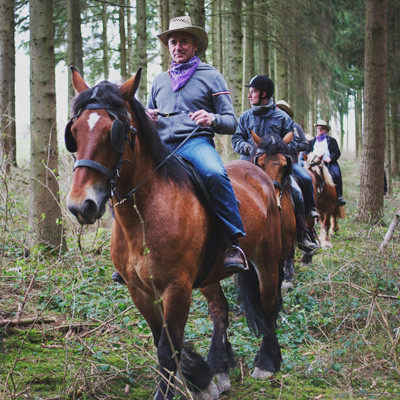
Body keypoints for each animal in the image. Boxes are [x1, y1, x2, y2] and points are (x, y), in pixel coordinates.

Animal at [65, 67, 282, 398]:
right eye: (74, 132)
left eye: (114, 132)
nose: (81, 204)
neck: (143, 218)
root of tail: (261, 175)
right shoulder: (140, 291)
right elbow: (162, 341)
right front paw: (200, 377)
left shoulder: (177, 289)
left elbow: (169, 348)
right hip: (210, 273)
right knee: (220, 309)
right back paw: (219, 367)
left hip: (268, 258)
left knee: (270, 304)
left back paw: (267, 362)